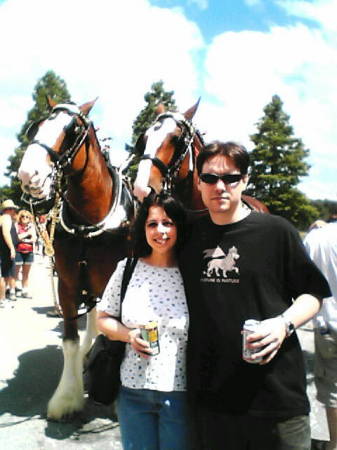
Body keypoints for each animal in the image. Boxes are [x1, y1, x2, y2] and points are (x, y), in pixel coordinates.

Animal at [17, 100, 132, 420]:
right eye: (35, 128)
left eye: (72, 130)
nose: (28, 174)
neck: (89, 221)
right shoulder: (68, 284)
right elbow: (70, 341)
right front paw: (67, 397)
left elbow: (117, 336)